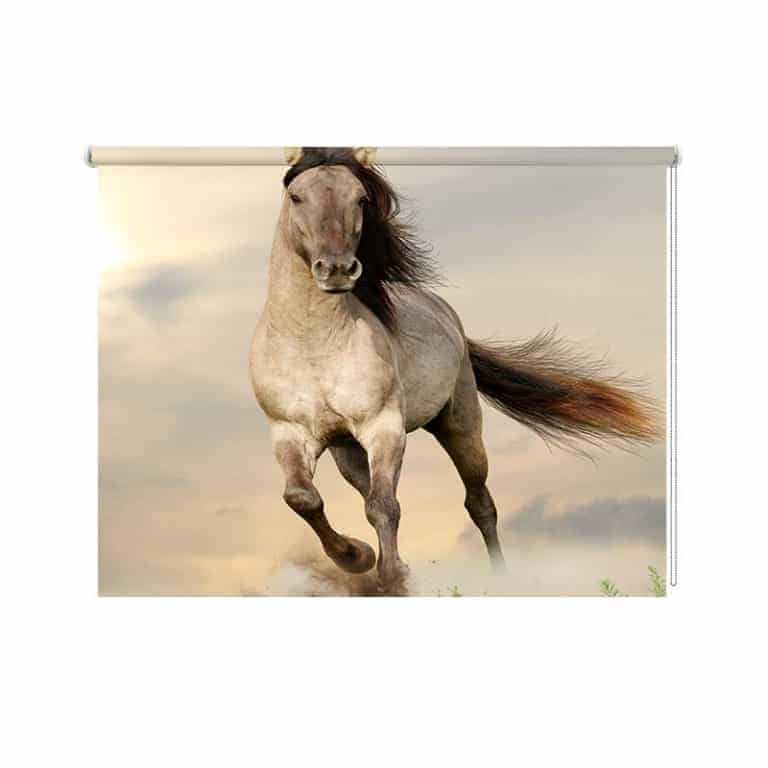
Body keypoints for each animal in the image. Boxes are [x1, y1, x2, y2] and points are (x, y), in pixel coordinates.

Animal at [250, 147, 659, 588]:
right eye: (296, 197)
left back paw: (500, 579)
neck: (312, 344)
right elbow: (303, 498)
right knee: (367, 492)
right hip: (348, 450)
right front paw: (357, 556)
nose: (338, 269)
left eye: (360, 199)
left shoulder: (384, 426)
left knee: (479, 504)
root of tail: (450, 318)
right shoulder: (290, 433)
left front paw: (393, 577)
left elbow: (383, 506)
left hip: (460, 425)